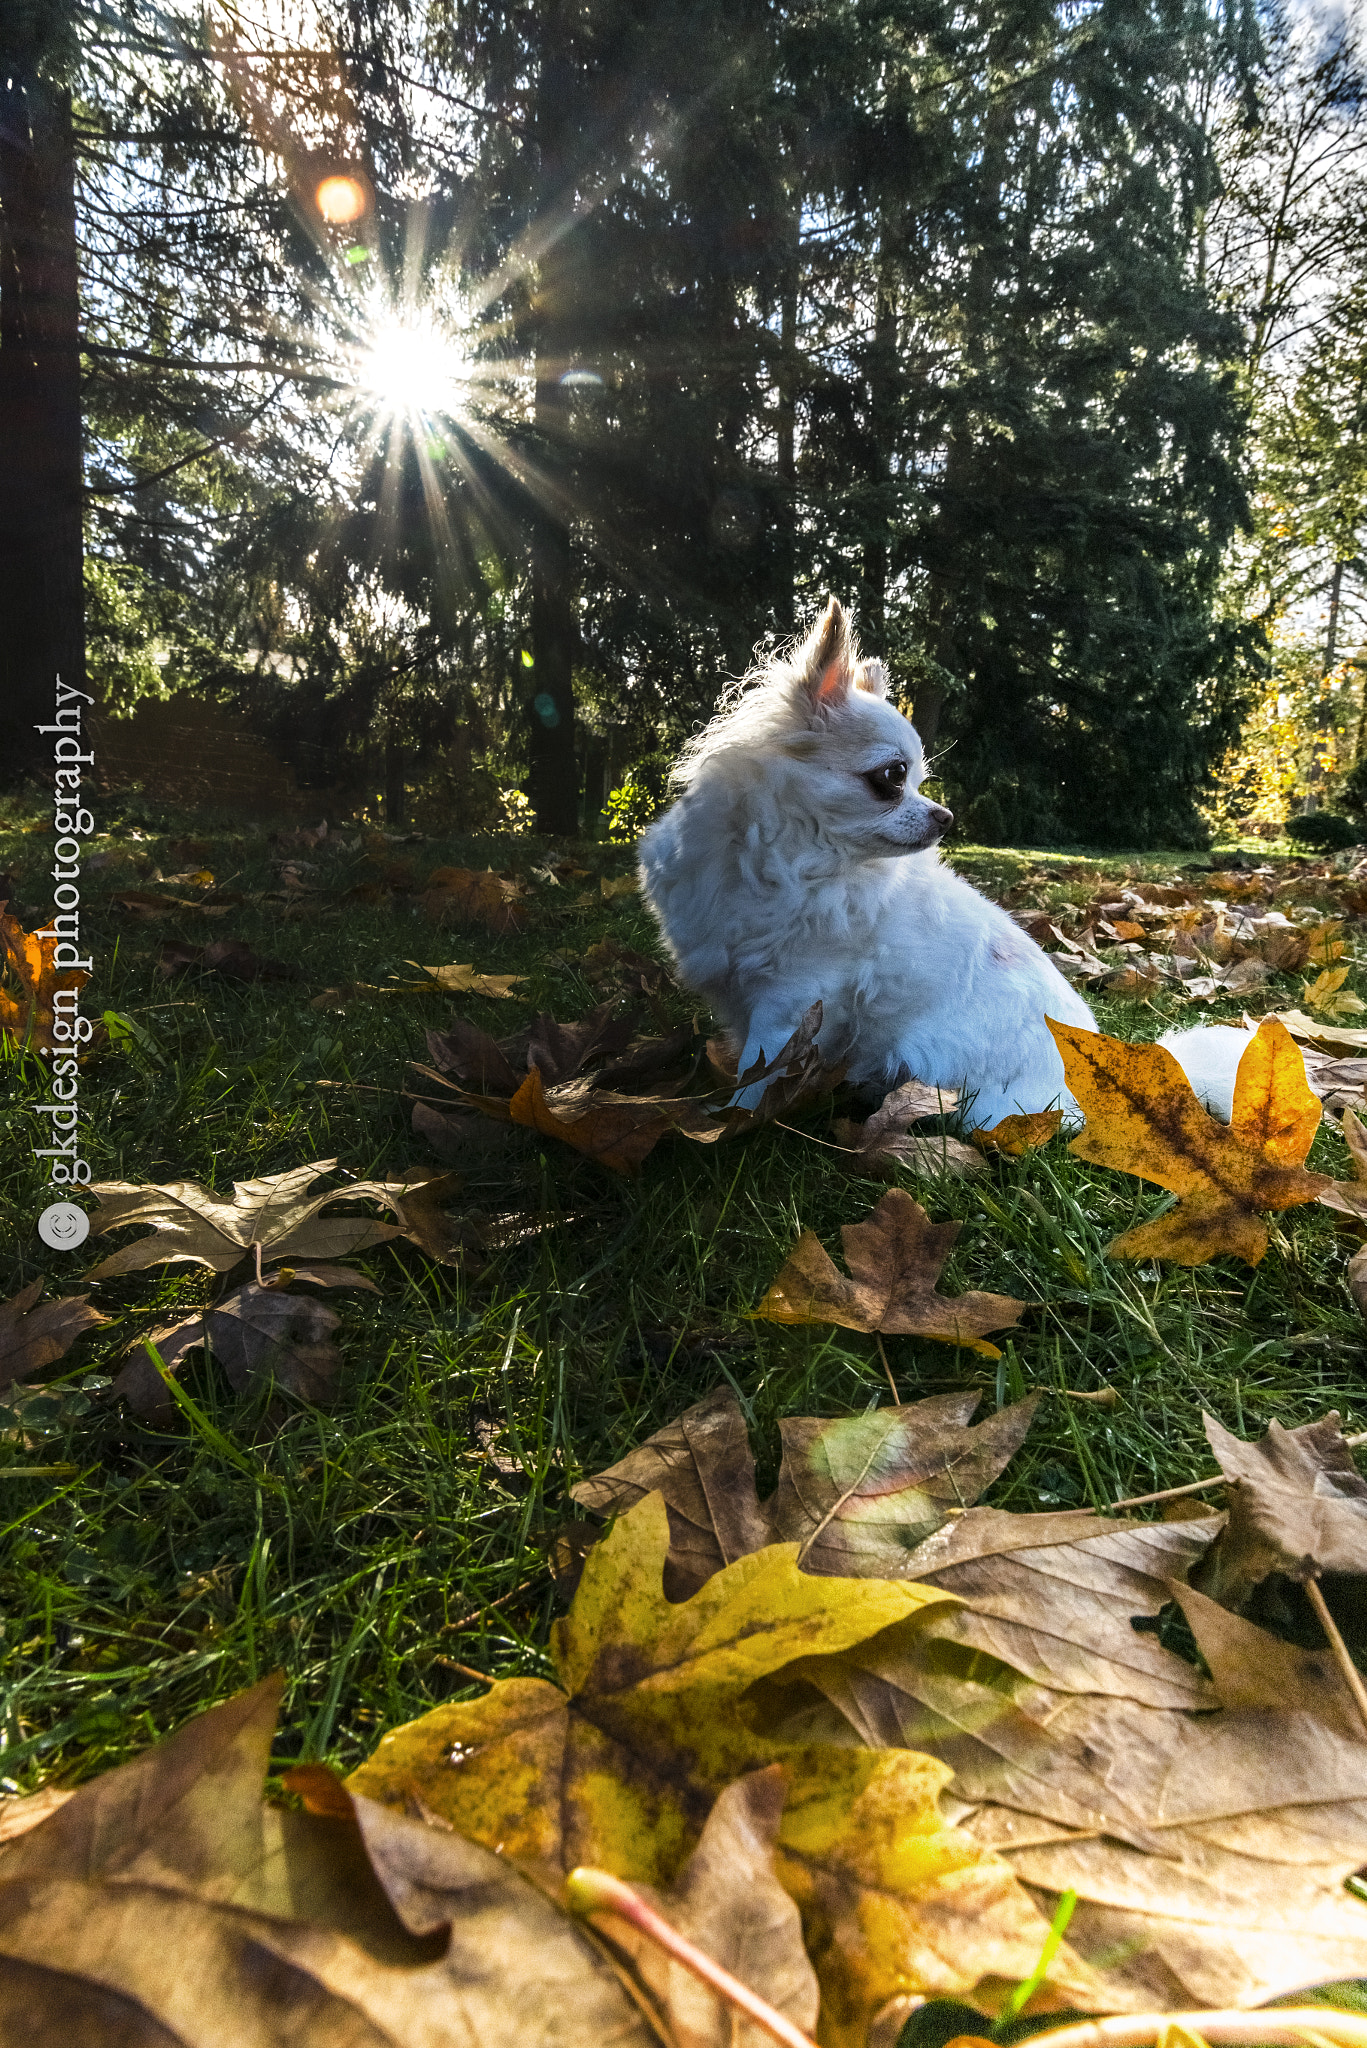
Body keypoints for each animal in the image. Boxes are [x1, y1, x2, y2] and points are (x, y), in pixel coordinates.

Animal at [643, 598, 1254, 1138]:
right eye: (894, 777)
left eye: (916, 779)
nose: (947, 816)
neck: (799, 859)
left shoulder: (792, 998)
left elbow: (761, 1070)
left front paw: (734, 1120)